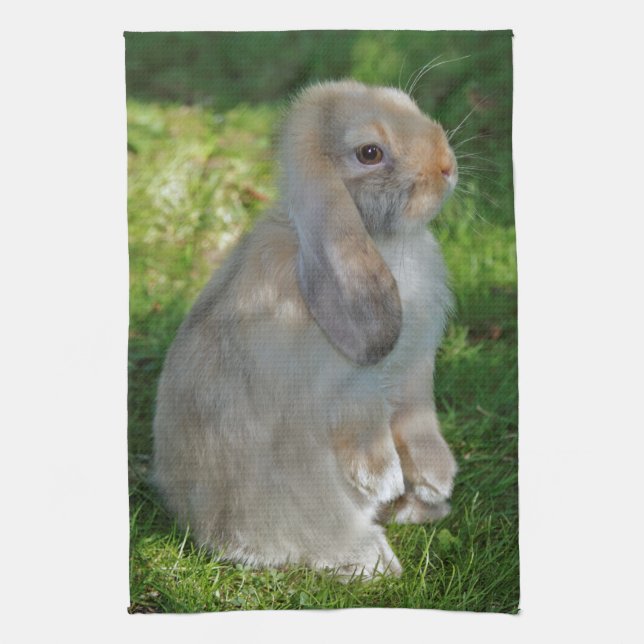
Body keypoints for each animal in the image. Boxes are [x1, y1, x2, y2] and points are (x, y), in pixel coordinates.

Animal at [152, 79, 458, 579]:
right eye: (370, 152)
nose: (447, 166)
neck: (381, 240)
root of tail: (196, 521)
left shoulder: (414, 372)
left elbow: (417, 418)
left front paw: (436, 480)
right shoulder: (351, 386)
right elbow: (365, 425)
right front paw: (384, 480)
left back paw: (422, 508)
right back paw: (374, 558)